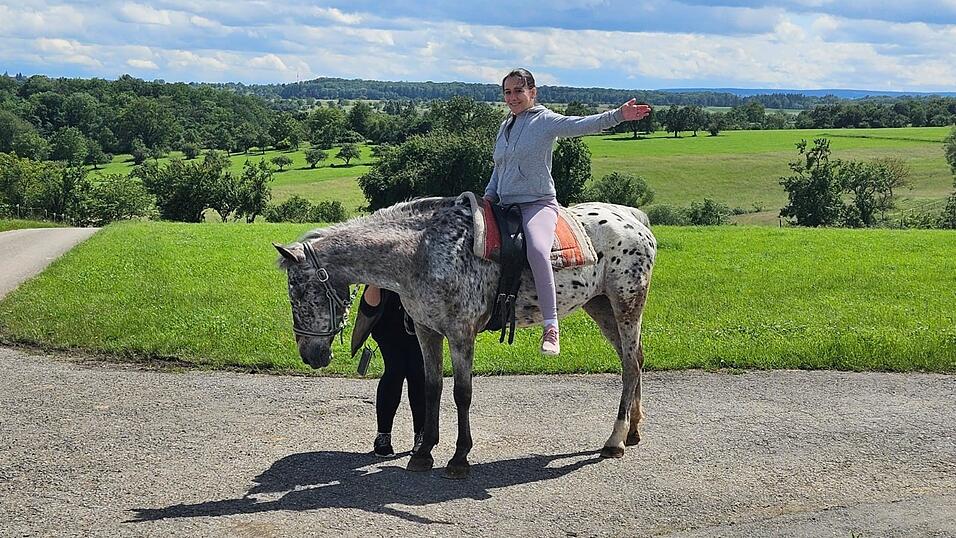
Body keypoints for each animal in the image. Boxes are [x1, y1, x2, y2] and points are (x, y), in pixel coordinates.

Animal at [275, 195, 656, 479]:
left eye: (300, 293)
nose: (309, 354)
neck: (422, 252)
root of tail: (634, 218)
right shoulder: (427, 331)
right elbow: (430, 388)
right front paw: (424, 452)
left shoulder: (461, 334)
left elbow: (462, 393)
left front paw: (459, 457)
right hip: (601, 306)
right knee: (635, 360)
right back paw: (633, 430)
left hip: (626, 304)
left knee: (629, 367)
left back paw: (615, 440)